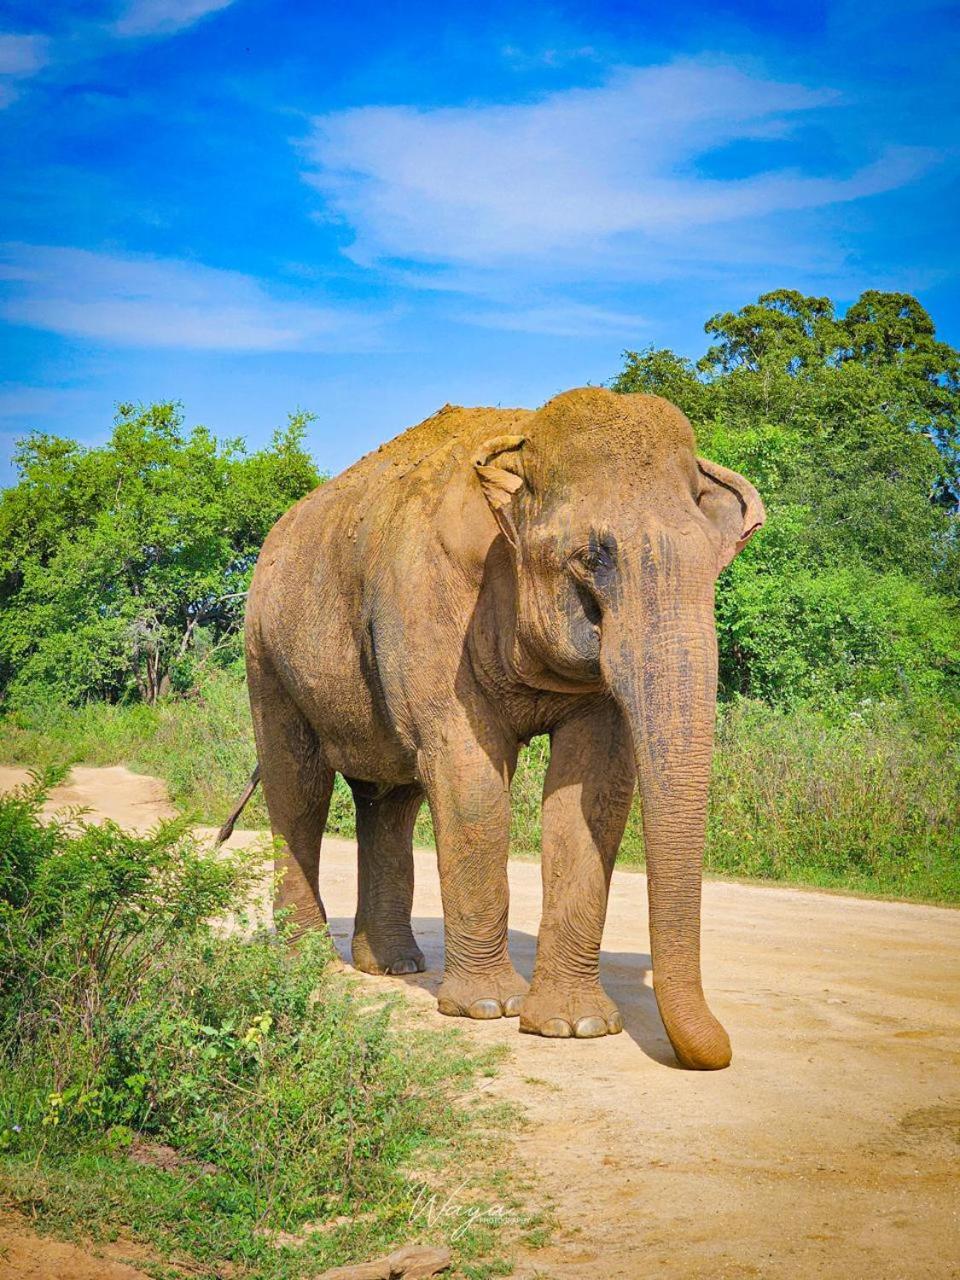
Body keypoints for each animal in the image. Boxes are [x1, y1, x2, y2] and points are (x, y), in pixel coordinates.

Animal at [232, 386, 768, 1070]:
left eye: (715, 563)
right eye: (592, 557)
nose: (721, 1049)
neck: (524, 441)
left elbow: (592, 786)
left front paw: (574, 1026)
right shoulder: (429, 605)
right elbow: (470, 775)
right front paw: (489, 1008)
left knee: (390, 799)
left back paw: (395, 967)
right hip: (265, 652)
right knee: (298, 789)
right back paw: (309, 964)